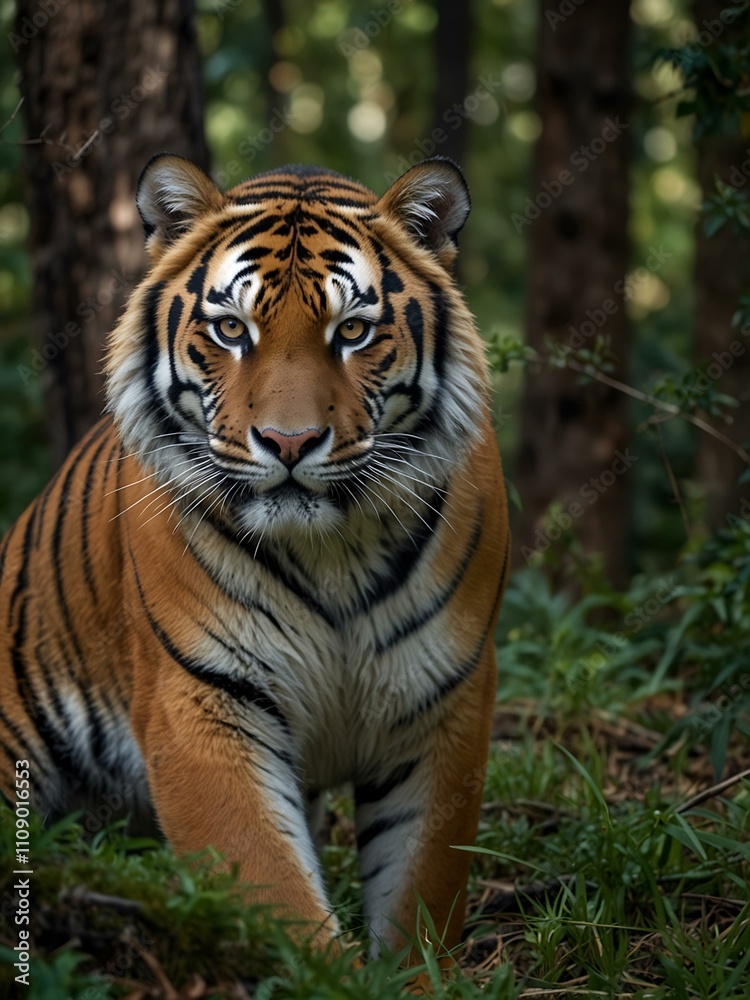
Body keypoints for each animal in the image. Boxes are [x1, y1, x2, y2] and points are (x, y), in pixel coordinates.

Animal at [0, 153, 510, 972]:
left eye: (353, 330)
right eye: (231, 329)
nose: (290, 442)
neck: (332, 550)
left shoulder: (443, 703)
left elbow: (421, 894)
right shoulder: (203, 700)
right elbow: (273, 890)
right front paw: (331, 977)